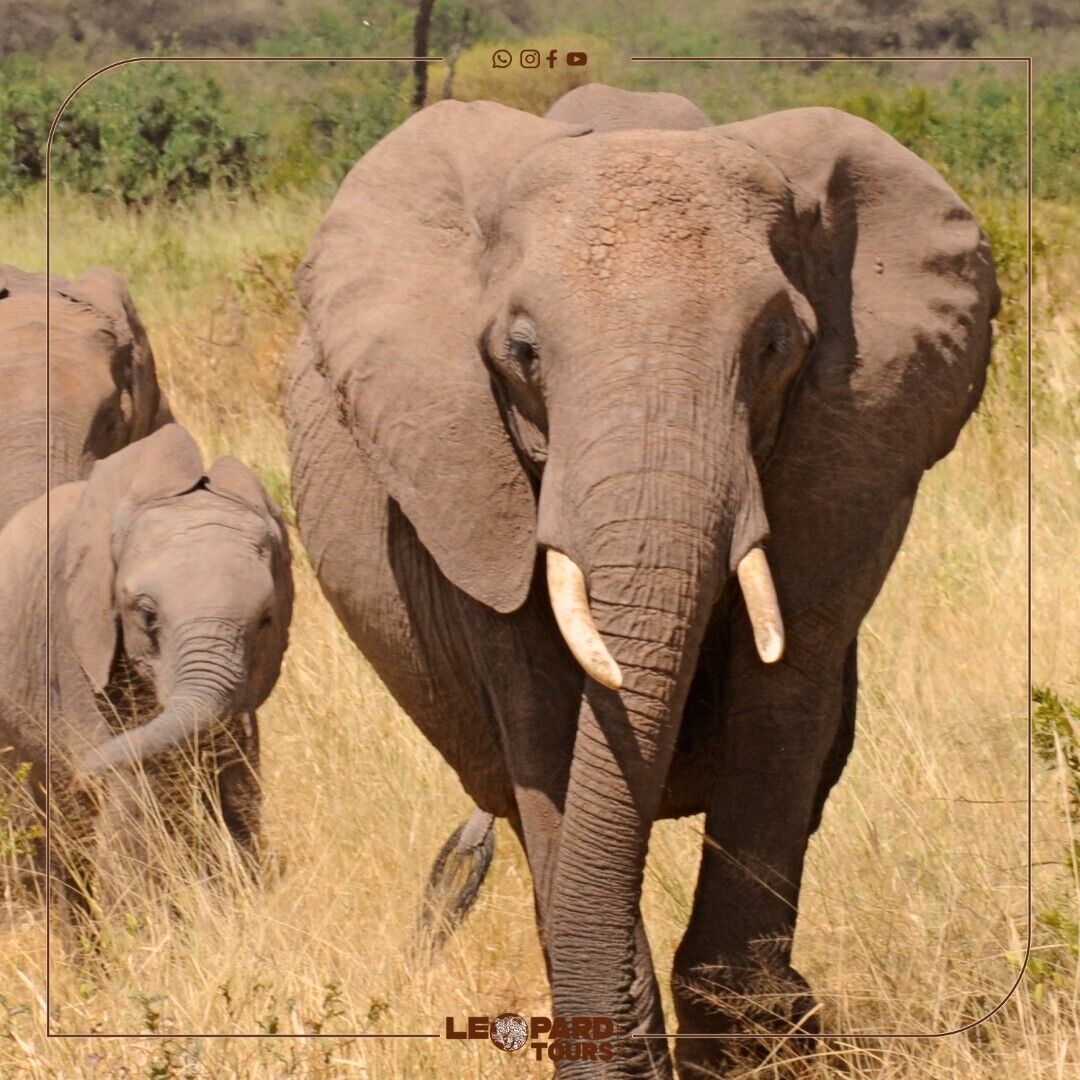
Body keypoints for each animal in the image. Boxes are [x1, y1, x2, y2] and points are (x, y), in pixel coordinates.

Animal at [0, 421, 293, 920]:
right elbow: (134, 801)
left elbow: (236, 786)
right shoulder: (76, 640)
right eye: (147, 615)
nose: (84, 773)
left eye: (266, 620)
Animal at [285, 86, 993, 1080]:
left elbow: (784, 705)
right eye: (523, 352)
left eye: (776, 344)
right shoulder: (467, 481)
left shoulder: (852, 450)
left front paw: (757, 1043)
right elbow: (544, 725)